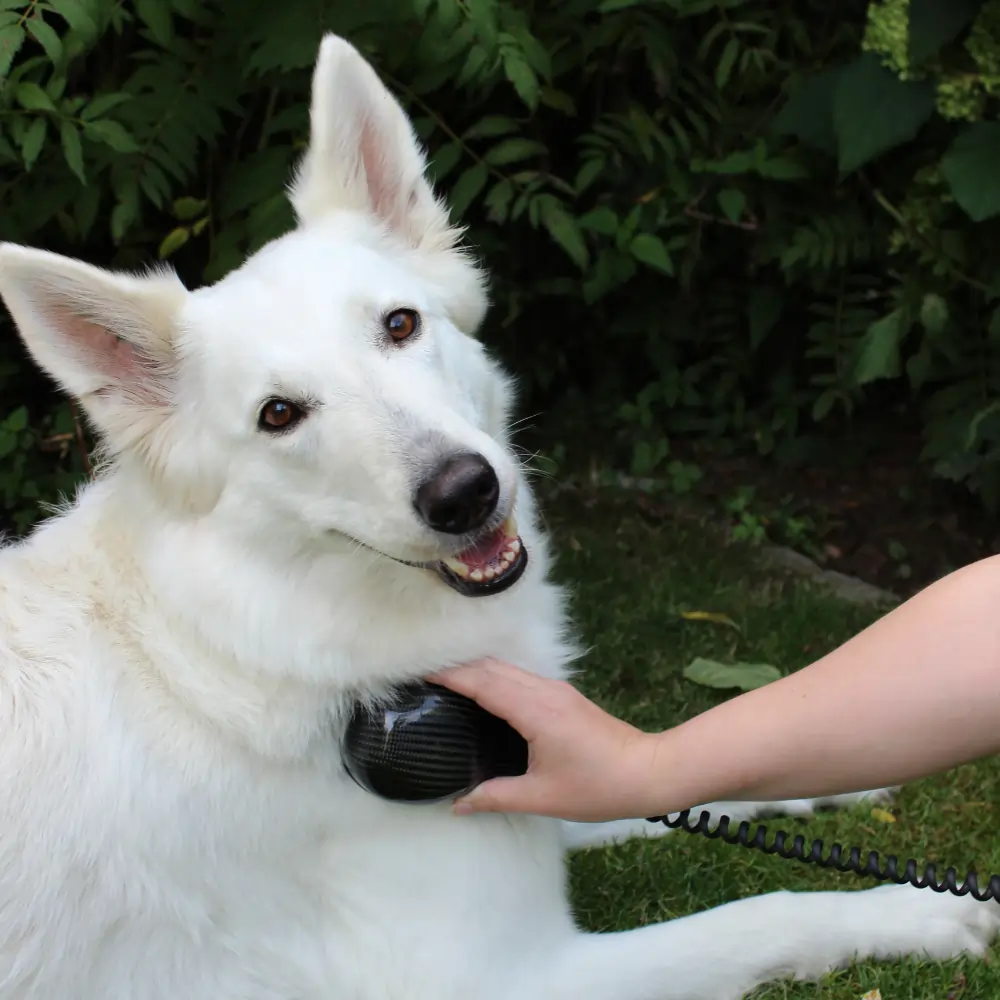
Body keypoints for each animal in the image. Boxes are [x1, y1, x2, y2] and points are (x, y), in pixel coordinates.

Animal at [0, 31, 996, 1000]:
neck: (242, 645)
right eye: (279, 414)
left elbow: (660, 764)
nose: (463, 493)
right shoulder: (509, 973)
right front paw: (920, 911)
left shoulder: (538, 773)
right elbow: (765, 915)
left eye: (400, 325)